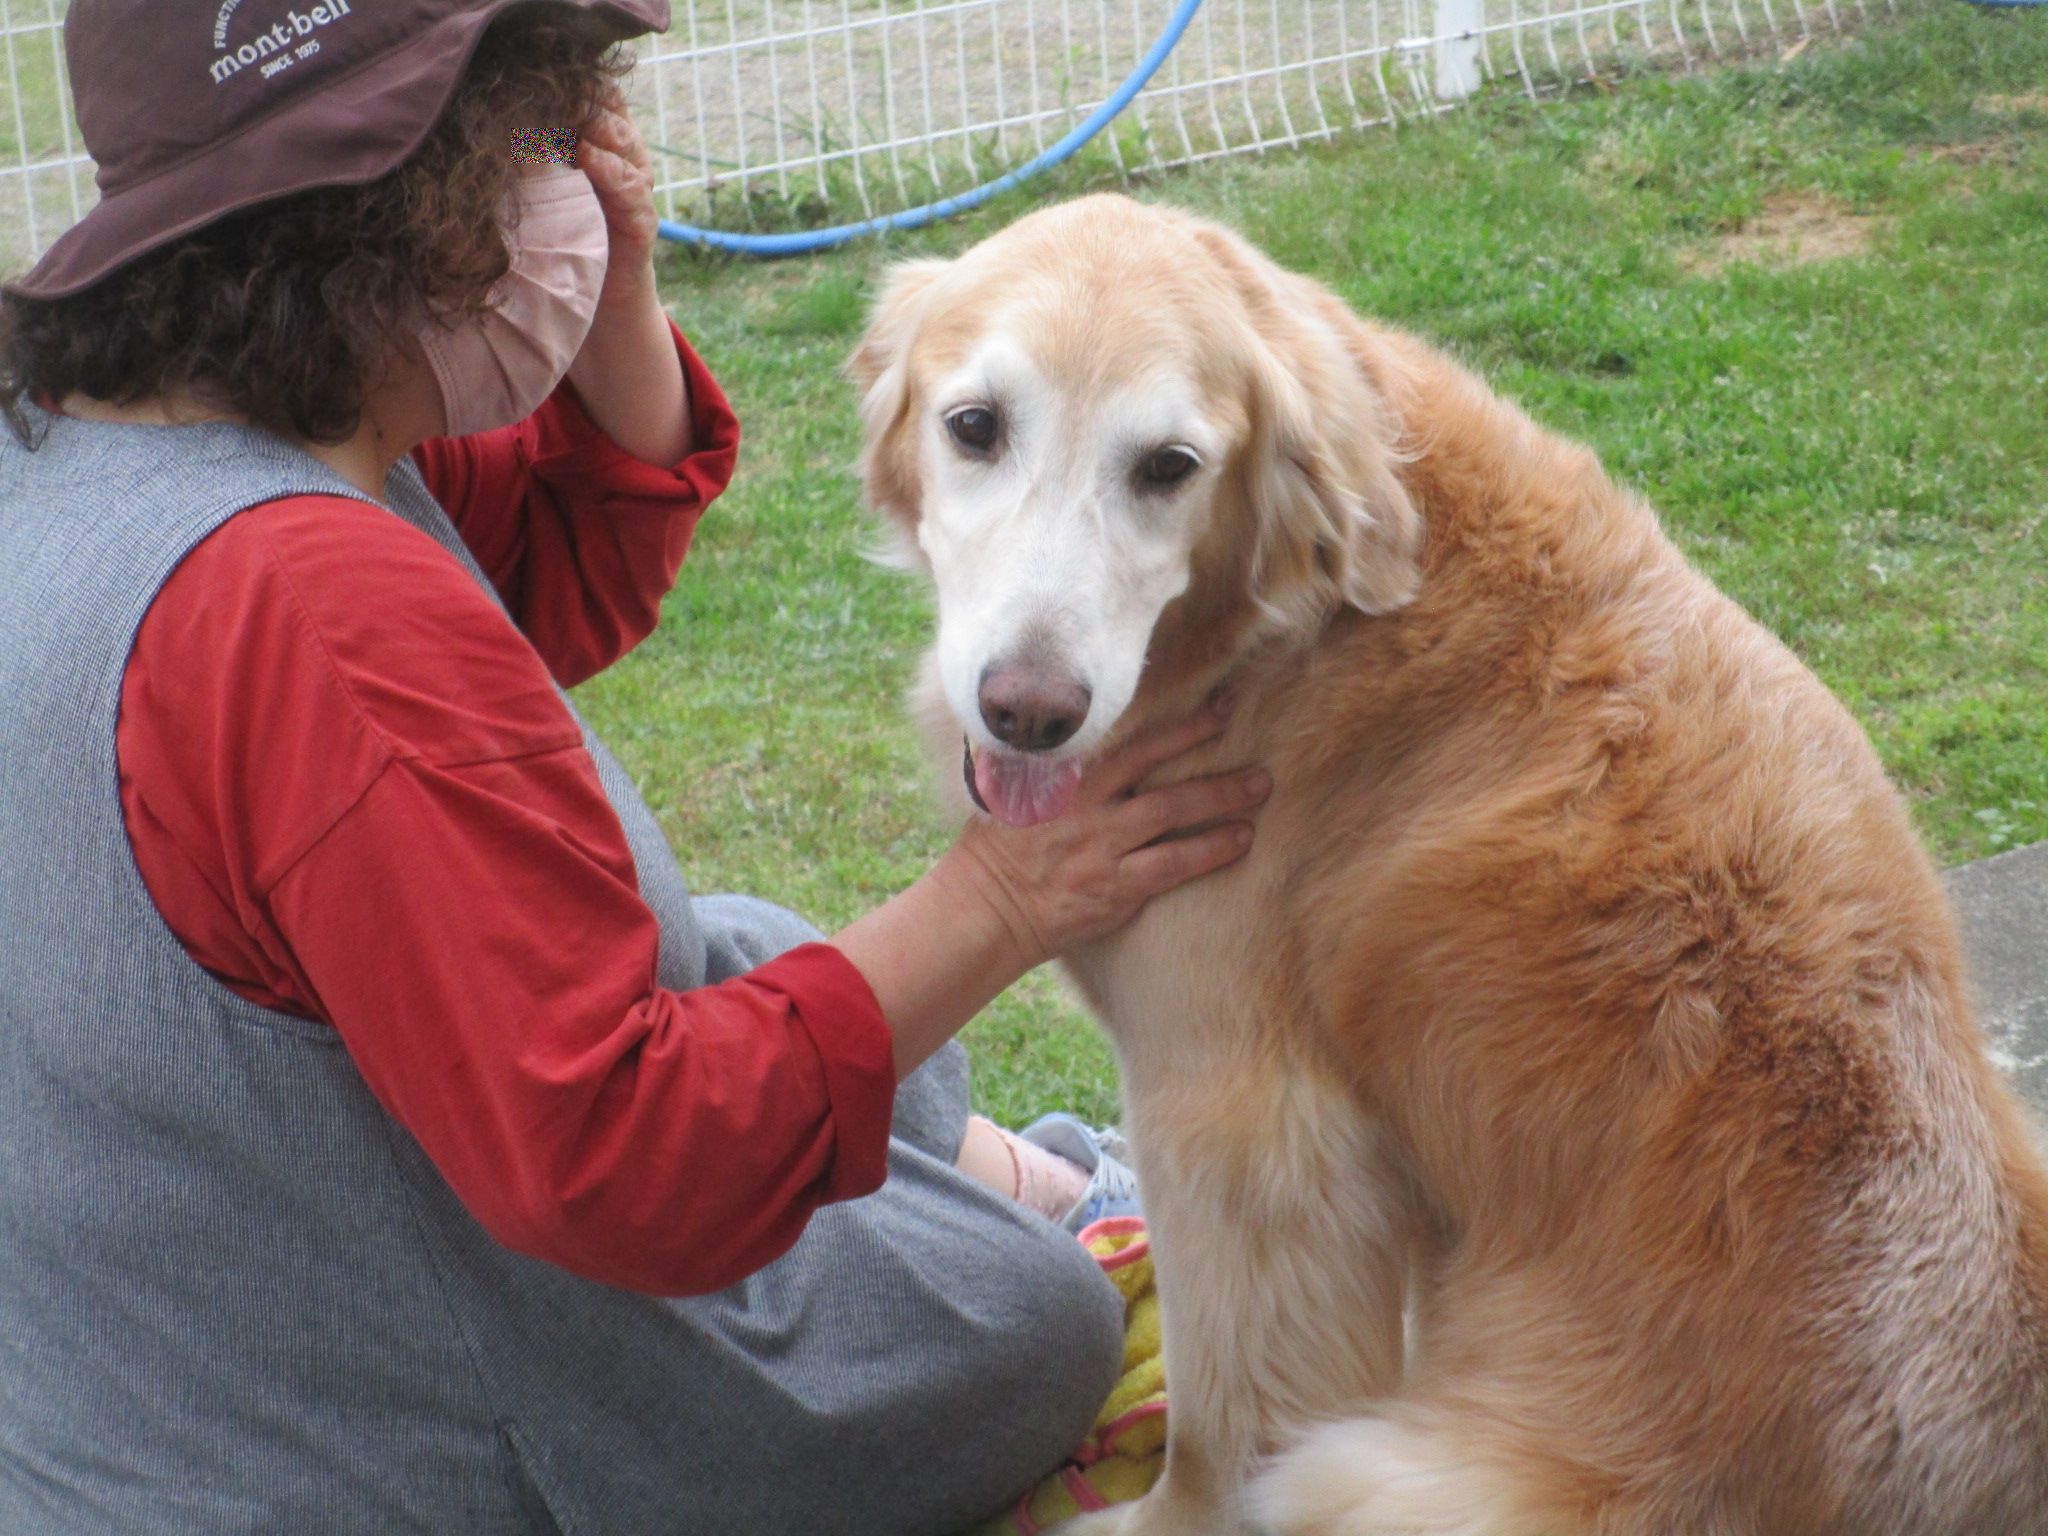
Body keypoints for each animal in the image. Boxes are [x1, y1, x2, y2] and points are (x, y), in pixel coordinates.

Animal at [847, 198, 2048, 1531]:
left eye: (1167, 466)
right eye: (974, 427)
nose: (1028, 712)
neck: (1286, 624)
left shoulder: (1237, 1116)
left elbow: (1219, 1417)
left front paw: (1154, 1519)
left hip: (1375, 1477)